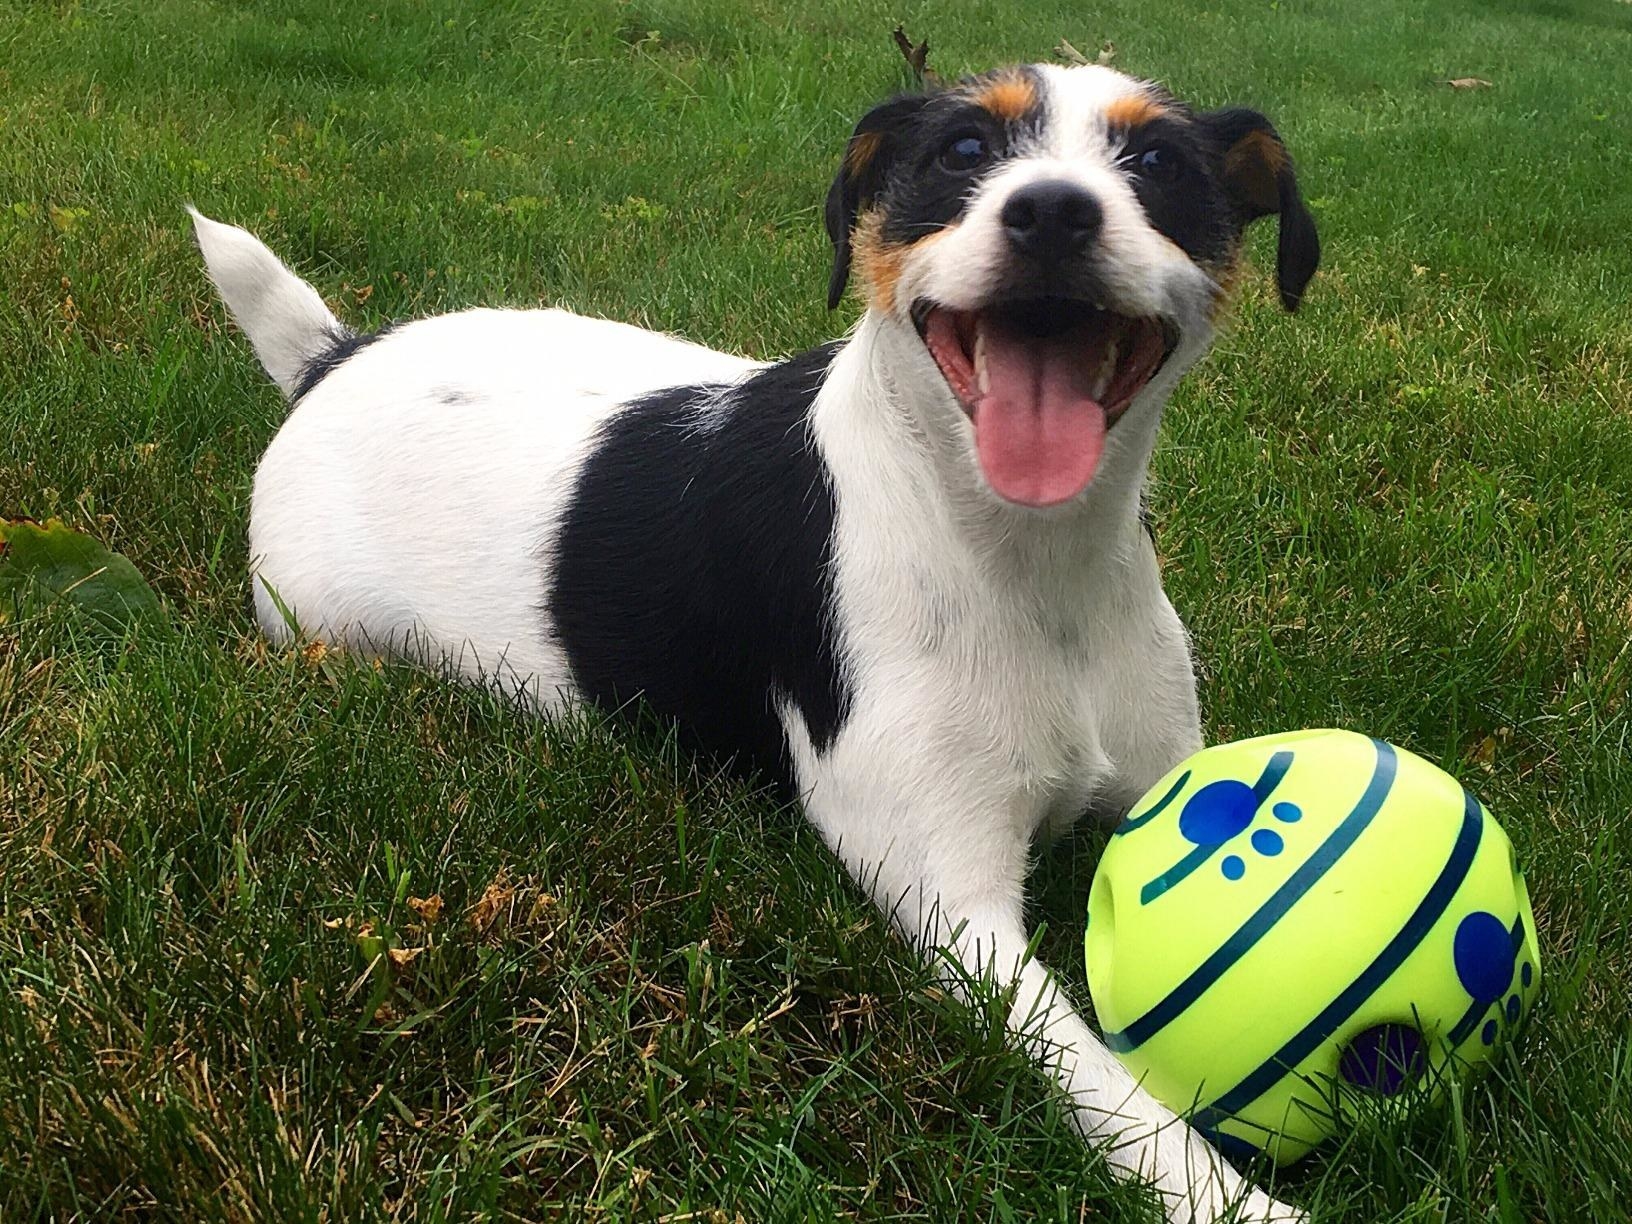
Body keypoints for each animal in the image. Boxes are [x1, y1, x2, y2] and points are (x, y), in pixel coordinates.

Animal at [194, 64, 1312, 1224]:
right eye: (962, 151)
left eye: (1159, 163)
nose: (1052, 211)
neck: (1024, 555)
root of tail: (333, 362)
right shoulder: (956, 916)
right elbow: (1108, 1090)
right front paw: (1236, 1198)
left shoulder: (1156, 785)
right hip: (315, 620)